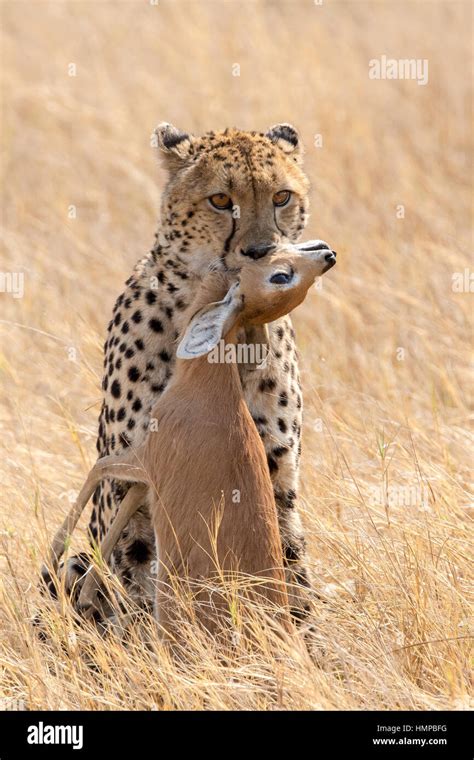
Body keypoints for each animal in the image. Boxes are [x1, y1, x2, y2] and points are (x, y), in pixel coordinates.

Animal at [49, 123, 322, 624]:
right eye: (220, 200)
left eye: (281, 197)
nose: (260, 250)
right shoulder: (136, 473)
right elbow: (134, 574)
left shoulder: (273, 472)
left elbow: (289, 570)